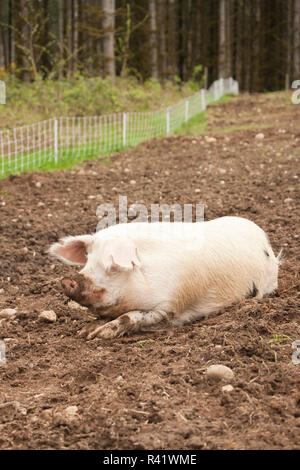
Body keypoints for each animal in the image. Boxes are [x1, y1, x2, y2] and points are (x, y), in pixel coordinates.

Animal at [48, 218, 280, 340]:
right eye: (88, 259)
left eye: (111, 265)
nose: (67, 281)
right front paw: (84, 332)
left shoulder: (171, 307)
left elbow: (132, 316)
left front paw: (100, 334)